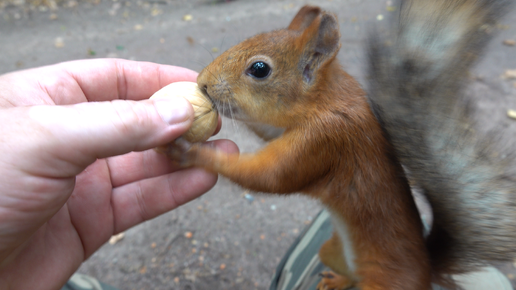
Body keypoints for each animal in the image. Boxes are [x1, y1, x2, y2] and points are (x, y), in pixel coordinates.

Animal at [164, 5, 432, 290]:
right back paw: (336, 280)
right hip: (330, 251)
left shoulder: (324, 139)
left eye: (259, 69)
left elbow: (272, 176)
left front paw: (190, 153)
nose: (202, 83)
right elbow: (269, 135)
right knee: (348, 274)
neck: (323, 99)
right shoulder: (287, 129)